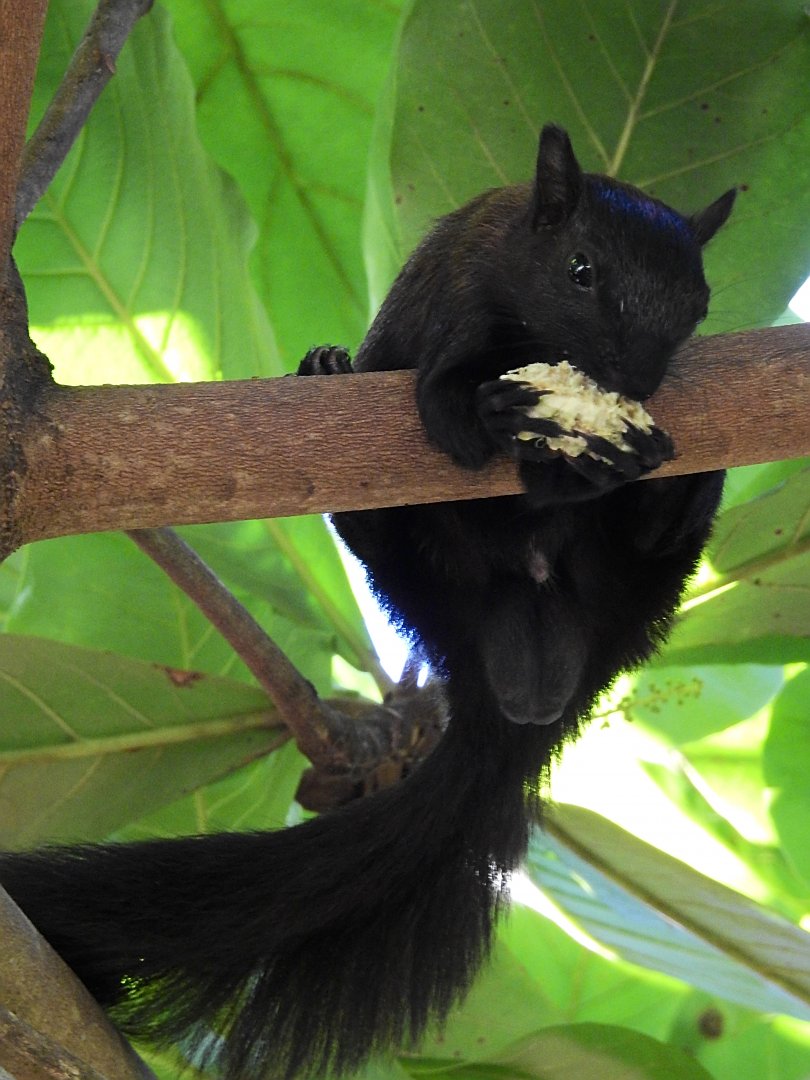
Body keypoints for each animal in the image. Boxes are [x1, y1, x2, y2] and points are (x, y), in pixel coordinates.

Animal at [0, 125, 735, 1080]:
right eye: (580, 271)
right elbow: (447, 419)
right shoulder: (457, 302)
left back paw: (667, 492)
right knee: (375, 516)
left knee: (656, 538)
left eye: (699, 301)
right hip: (406, 555)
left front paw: (604, 450)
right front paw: (494, 414)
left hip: (636, 581)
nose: (637, 377)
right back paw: (329, 368)